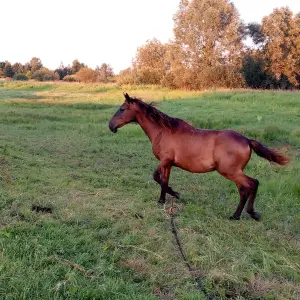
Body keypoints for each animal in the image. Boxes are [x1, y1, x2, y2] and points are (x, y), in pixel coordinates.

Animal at [109, 92, 290, 221]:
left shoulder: (165, 161)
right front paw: (174, 194)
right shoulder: (168, 163)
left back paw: (249, 214)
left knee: (252, 184)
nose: (111, 126)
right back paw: (237, 215)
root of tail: (247, 140)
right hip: (234, 173)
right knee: (244, 189)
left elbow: (160, 179)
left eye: (122, 109)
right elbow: (160, 179)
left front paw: (164, 199)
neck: (163, 131)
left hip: (230, 171)